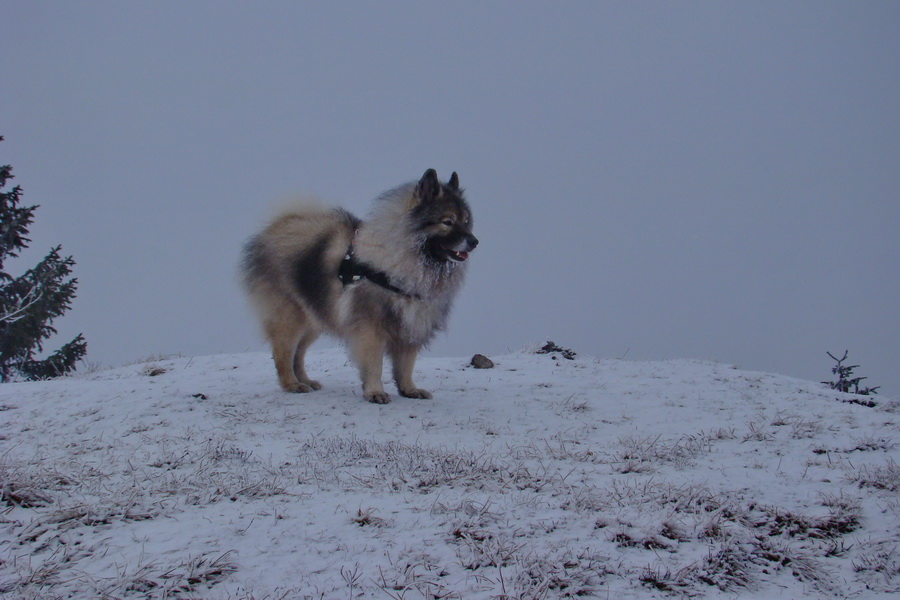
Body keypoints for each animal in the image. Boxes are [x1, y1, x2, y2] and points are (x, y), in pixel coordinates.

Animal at [239, 169, 478, 404]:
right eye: (448, 222)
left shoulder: (411, 326)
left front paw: (409, 389)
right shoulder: (370, 328)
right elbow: (374, 365)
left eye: (466, 221)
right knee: (283, 353)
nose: (474, 241)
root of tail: (278, 225)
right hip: (290, 317)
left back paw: (306, 381)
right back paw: (292, 384)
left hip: (314, 318)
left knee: (298, 353)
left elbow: (406, 365)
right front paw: (375, 392)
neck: (400, 260)